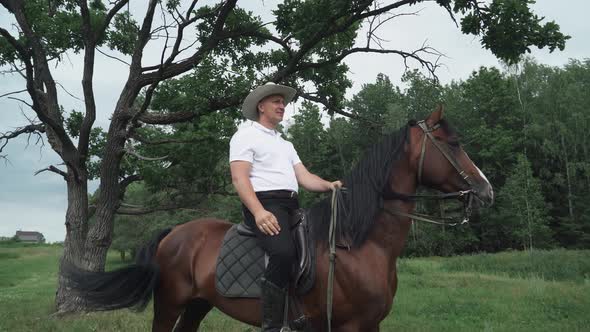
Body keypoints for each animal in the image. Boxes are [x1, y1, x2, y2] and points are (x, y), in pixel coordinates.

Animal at [66, 107, 494, 330]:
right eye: (454, 143)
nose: (486, 191)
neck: (358, 244)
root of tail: (175, 234)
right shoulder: (349, 326)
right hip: (170, 303)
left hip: (197, 305)